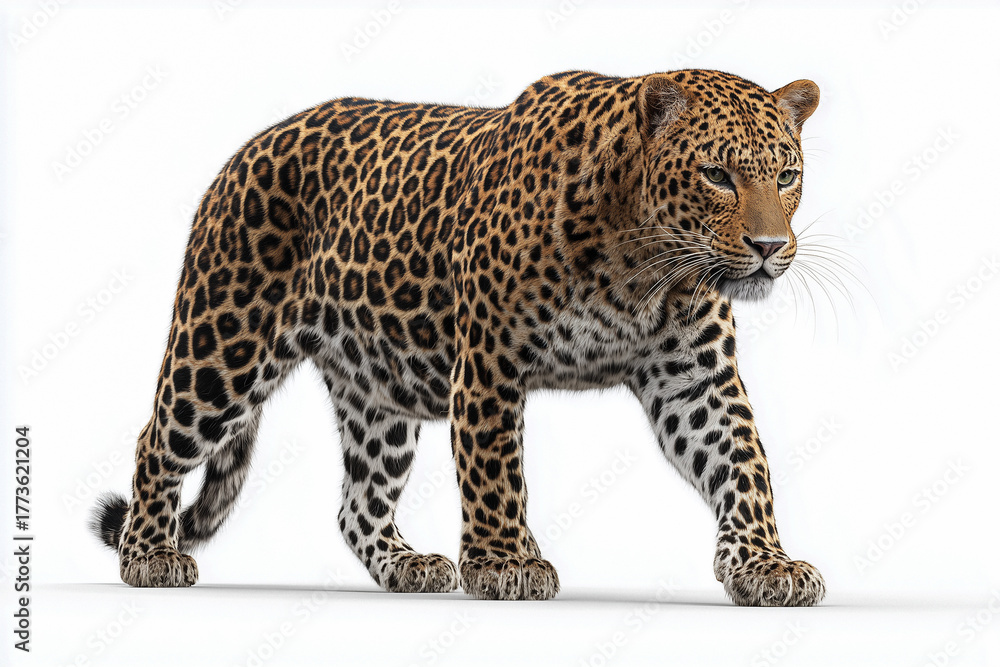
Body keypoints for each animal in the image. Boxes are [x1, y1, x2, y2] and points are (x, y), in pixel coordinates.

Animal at [91, 68, 826, 606]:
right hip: (221, 345)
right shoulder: (489, 363)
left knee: (358, 503)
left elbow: (743, 463)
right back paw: (149, 554)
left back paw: (406, 564)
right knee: (157, 439)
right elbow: (497, 470)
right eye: (717, 175)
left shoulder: (694, 380)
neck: (643, 265)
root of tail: (248, 147)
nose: (769, 248)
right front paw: (505, 562)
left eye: (787, 175)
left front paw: (767, 563)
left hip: (378, 389)